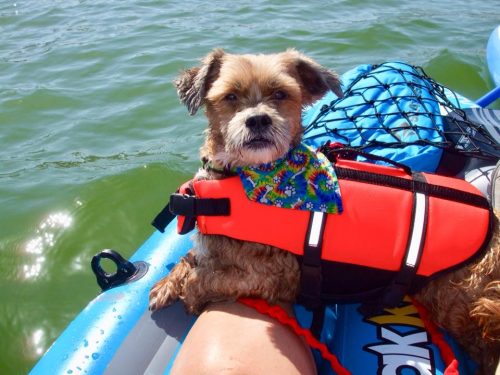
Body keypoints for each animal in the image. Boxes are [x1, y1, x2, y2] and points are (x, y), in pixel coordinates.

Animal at [151, 49, 500, 374]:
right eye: (231, 97)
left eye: (281, 94)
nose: (259, 119)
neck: (244, 177)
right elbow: (192, 259)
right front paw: (167, 282)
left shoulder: (272, 275)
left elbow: (205, 278)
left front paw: (189, 294)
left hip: (457, 299)